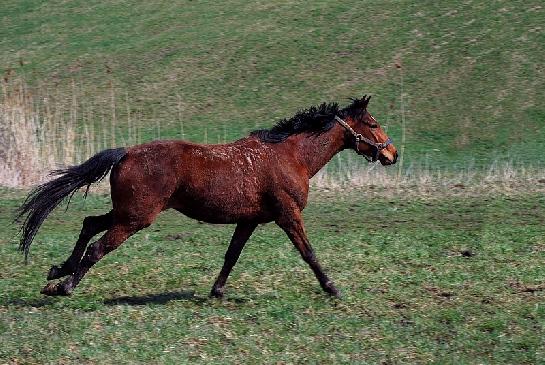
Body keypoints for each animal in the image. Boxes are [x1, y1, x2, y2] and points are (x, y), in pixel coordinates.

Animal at [17, 95, 398, 298]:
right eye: (373, 123)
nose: (393, 154)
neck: (290, 156)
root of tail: (127, 152)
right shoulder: (287, 214)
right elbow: (309, 253)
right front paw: (332, 287)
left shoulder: (249, 220)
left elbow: (231, 256)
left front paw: (217, 291)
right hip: (136, 217)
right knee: (98, 246)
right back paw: (64, 286)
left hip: (128, 211)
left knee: (89, 223)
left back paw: (58, 270)